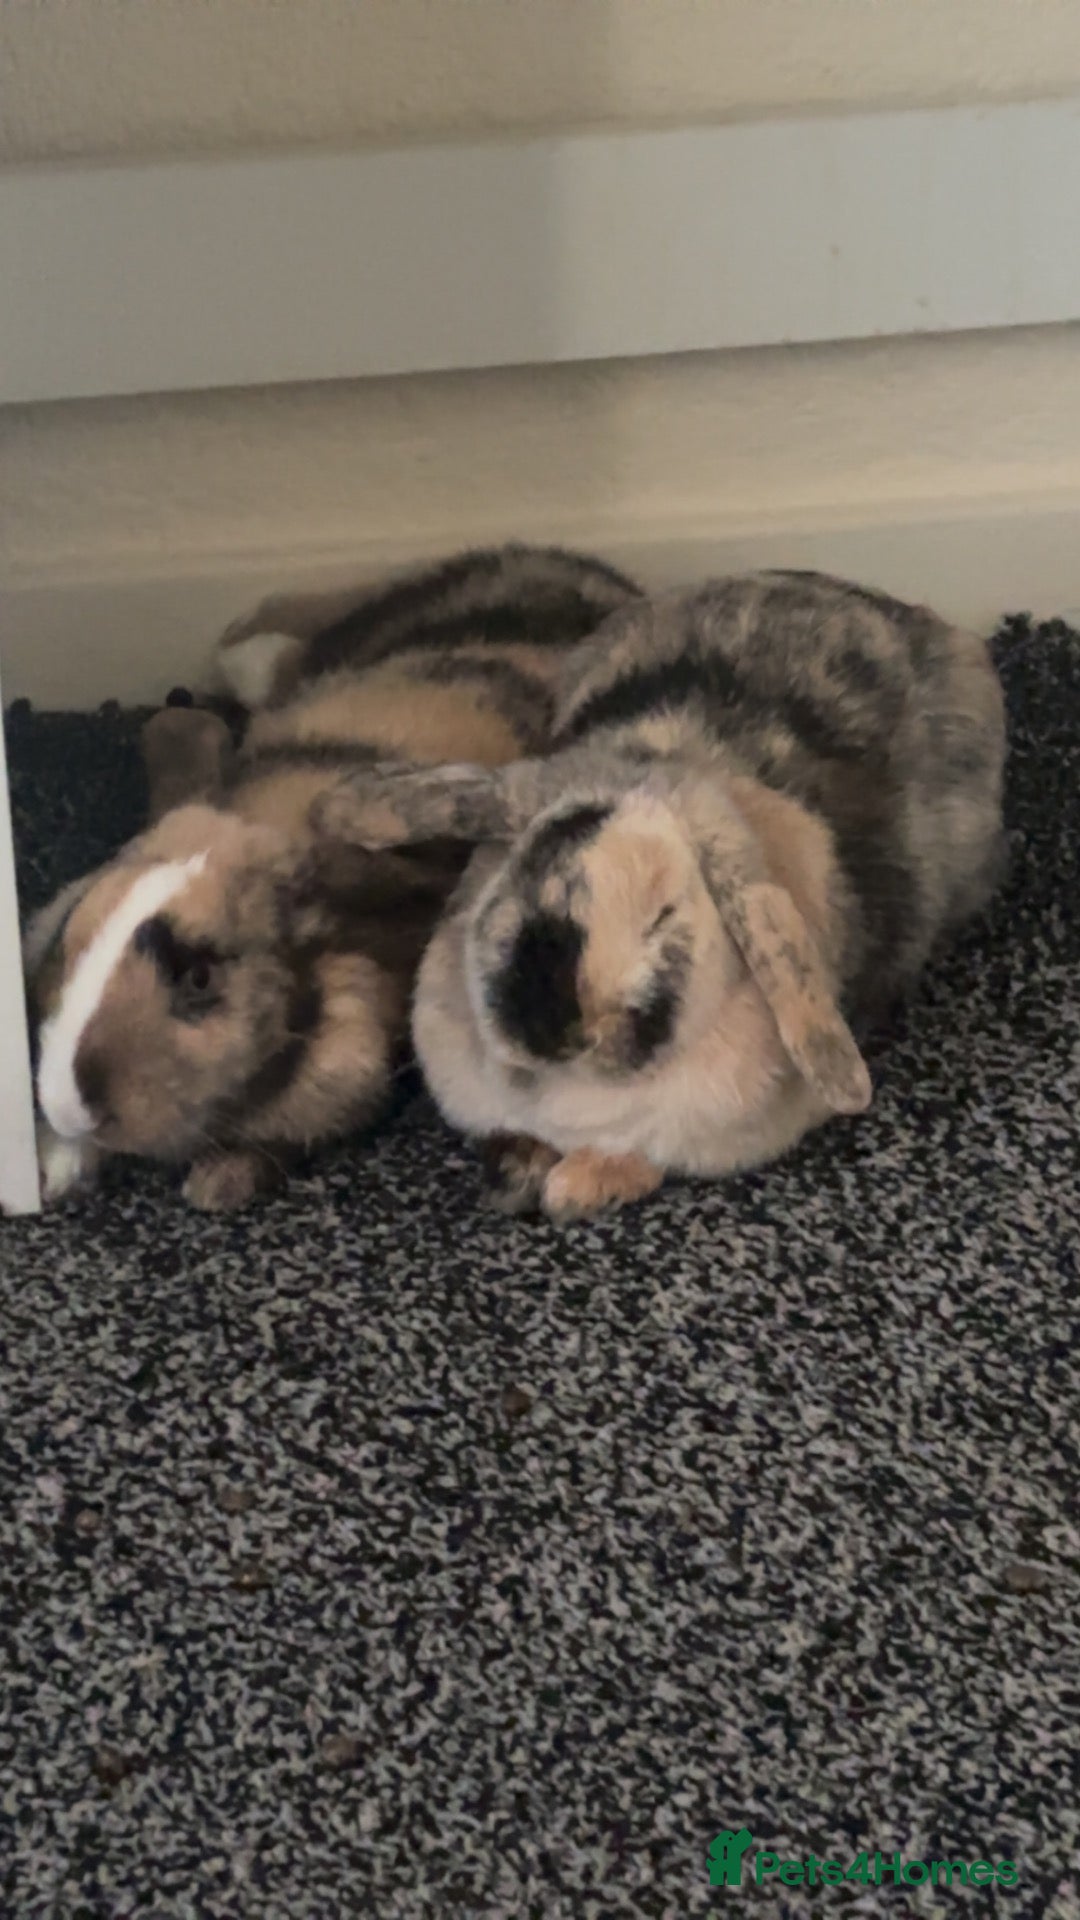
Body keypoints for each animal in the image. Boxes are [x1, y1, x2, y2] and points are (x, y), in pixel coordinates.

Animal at [311, 569, 1007, 1220]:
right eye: (538, 852)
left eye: (664, 918)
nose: (557, 1031)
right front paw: (519, 1170)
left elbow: (640, 1161)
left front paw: (576, 1188)